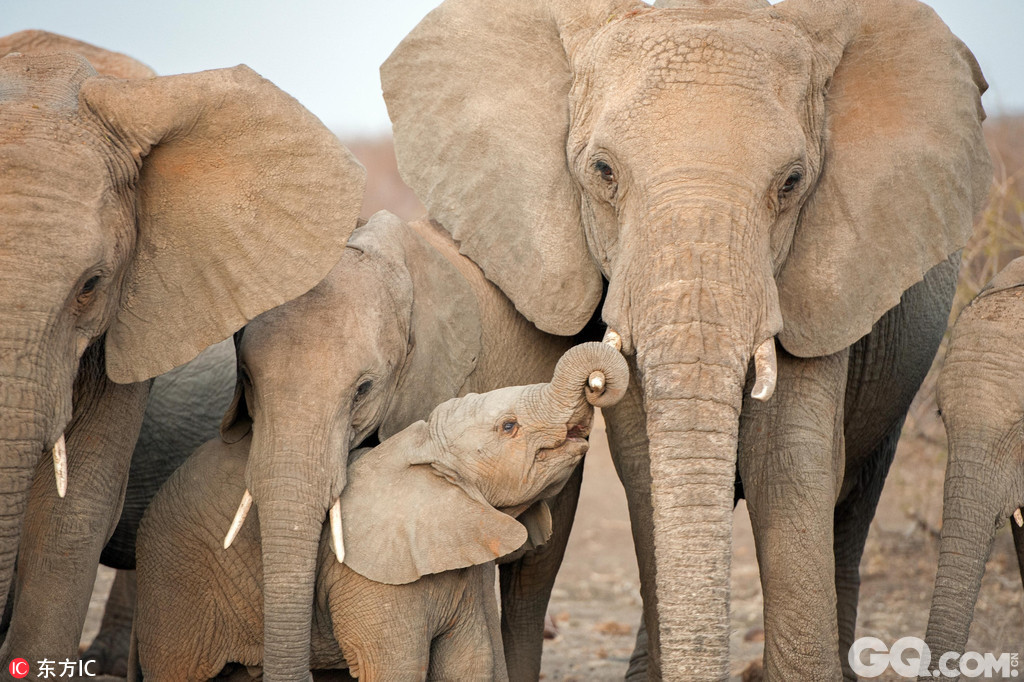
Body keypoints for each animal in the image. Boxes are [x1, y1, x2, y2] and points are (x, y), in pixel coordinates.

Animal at [132, 342, 626, 675]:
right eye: (509, 427)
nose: (596, 383)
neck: (420, 448)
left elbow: (470, 664)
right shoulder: (370, 581)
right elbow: (396, 668)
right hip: (175, 582)